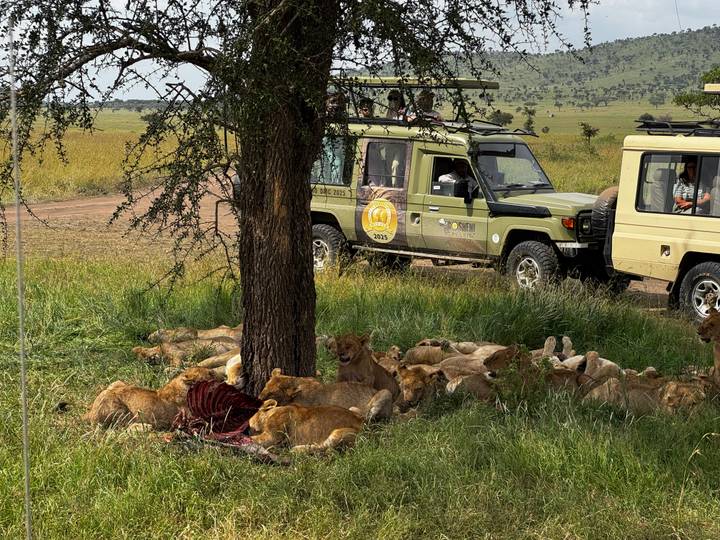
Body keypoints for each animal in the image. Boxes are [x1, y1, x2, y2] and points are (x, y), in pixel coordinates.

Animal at [83, 366, 223, 430]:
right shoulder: (191, 419)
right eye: (210, 373)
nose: (221, 377)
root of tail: (90, 412)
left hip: (116, 382)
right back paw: (146, 426)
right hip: (119, 409)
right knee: (121, 426)